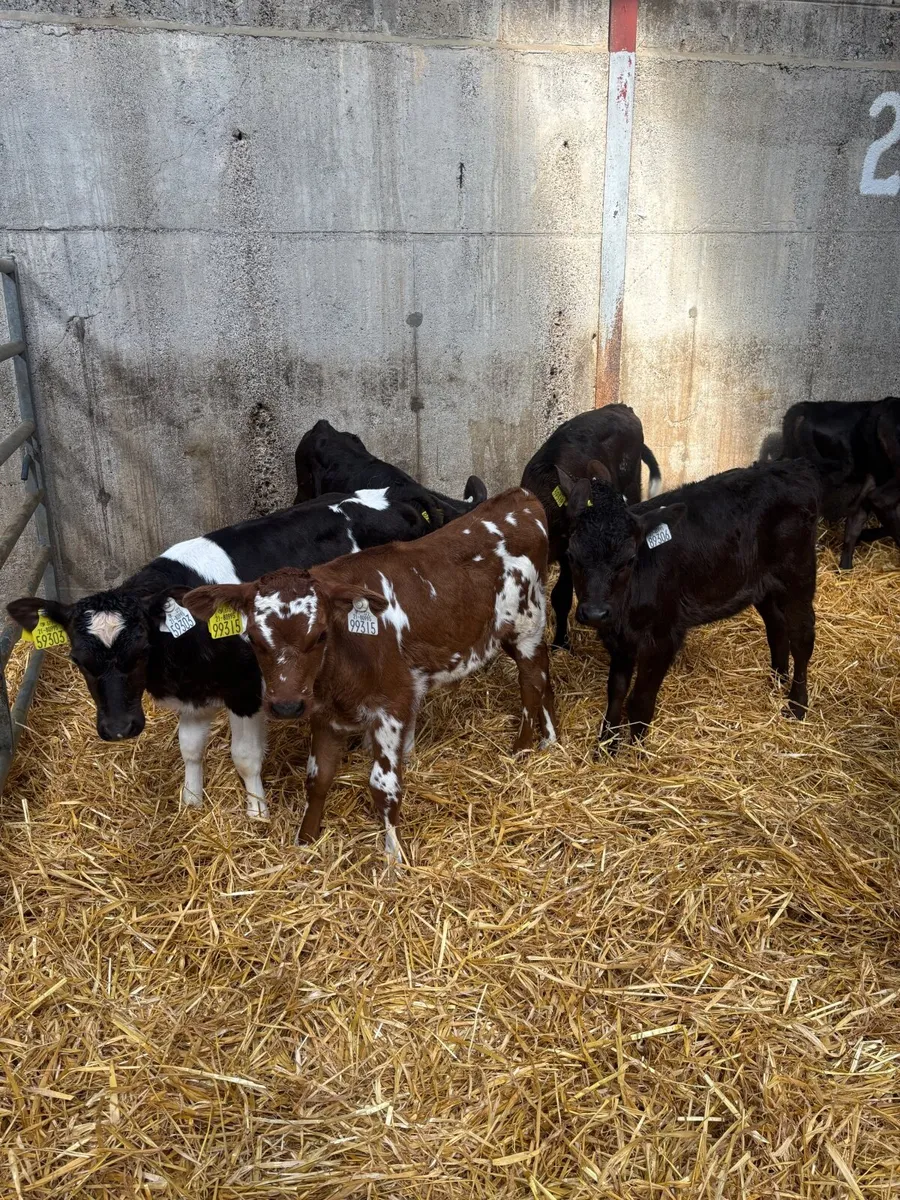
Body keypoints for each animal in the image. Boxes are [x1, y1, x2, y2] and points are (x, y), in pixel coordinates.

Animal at [6, 486, 435, 819]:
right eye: (78, 660)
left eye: (142, 649)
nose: (118, 729)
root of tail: (398, 497)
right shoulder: (193, 694)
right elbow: (190, 749)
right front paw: (191, 802)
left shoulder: (245, 690)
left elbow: (244, 756)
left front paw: (257, 812)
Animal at [180, 487, 557, 860]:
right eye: (255, 639)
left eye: (320, 635)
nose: (286, 706)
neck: (344, 659)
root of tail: (518, 497)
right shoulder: (324, 714)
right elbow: (317, 777)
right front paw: (305, 841)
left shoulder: (391, 706)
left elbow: (383, 786)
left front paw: (394, 857)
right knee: (545, 672)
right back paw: (550, 739)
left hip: (526, 625)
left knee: (531, 682)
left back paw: (521, 748)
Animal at [562, 459, 819, 753]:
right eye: (571, 556)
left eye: (628, 560)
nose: (595, 612)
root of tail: (790, 466)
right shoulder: (619, 640)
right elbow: (615, 691)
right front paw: (606, 745)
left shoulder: (663, 637)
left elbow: (639, 699)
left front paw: (637, 752)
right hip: (761, 584)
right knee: (776, 625)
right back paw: (777, 679)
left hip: (799, 576)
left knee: (802, 637)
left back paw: (797, 705)